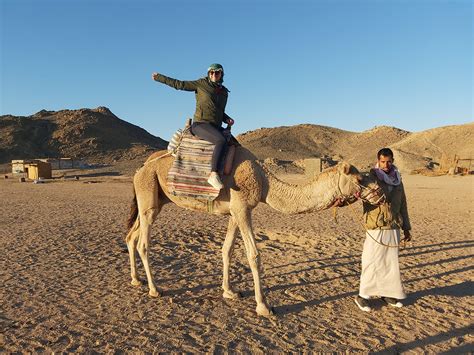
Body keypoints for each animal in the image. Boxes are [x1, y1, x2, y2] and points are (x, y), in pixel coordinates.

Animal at [124, 147, 384, 318]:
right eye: (359, 178)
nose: (380, 193)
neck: (265, 182)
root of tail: (139, 170)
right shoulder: (242, 208)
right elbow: (254, 255)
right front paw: (264, 306)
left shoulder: (234, 212)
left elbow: (227, 250)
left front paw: (229, 291)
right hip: (148, 195)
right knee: (143, 243)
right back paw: (154, 289)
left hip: (155, 200)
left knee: (131, 236)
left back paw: (136, 280)